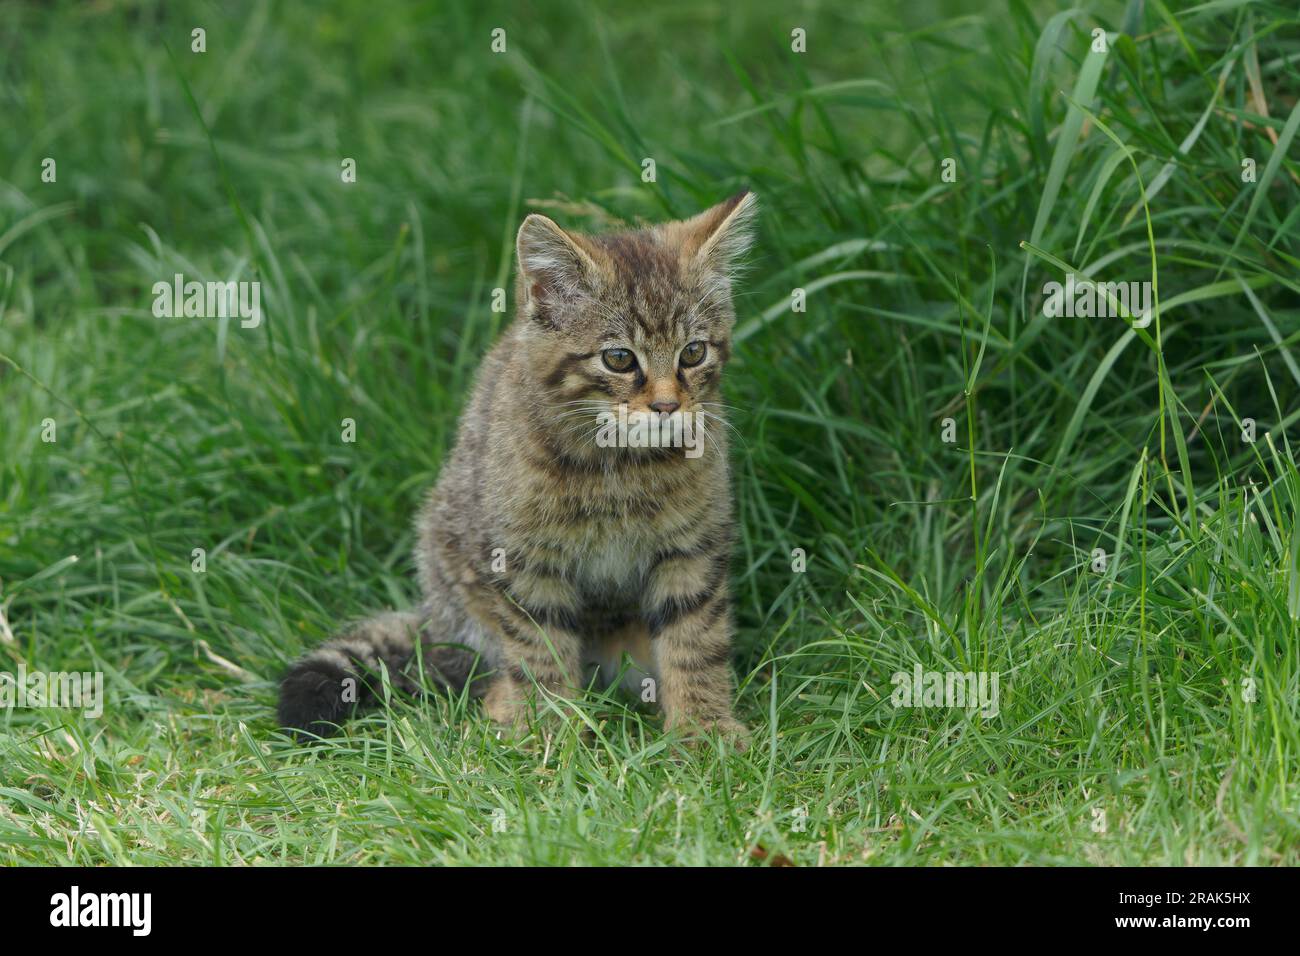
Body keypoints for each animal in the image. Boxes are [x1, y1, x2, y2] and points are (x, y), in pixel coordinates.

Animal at [279, 192, 759, 749]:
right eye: (619, 358)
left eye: (693, 352)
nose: (667, 407)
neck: (620, 466)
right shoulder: (524, 558)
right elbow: (539, 647)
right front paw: (550, 730)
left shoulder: (693, 548)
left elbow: (695, 639)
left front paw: (704, 731)